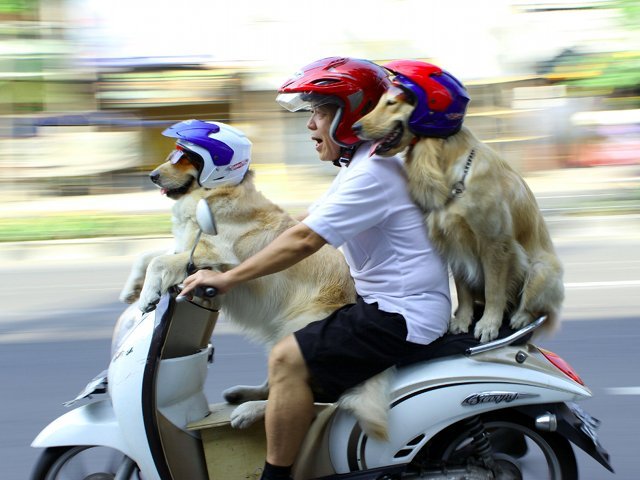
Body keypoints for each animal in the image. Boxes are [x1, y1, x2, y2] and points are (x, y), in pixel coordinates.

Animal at [117, 153, 392, 438]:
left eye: (184, 159)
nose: (151, 176)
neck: (217, 193)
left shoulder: (215, 256)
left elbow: (158, 261)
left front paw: (147, 296)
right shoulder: (189, 251)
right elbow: (147, 256)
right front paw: (131, 290)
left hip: (294, 329)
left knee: (321, 399)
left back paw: (249, 411)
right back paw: (243, 395)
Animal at [356, 60, 564, 344]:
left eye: (391, 103)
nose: (355, 128)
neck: (445, 166)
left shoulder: (495, 244)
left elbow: (495, 290)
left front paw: (488, 324)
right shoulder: (454, 244)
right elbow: (463, 290)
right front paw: (463, 319)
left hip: (541, 268)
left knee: (537, 307)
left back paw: (521, 316)